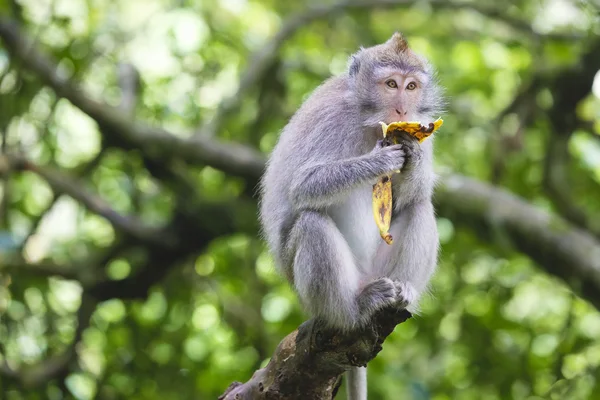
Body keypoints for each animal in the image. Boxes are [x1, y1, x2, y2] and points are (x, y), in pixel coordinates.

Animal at [258, 32, 446, 398]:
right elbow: (303, 186)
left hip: (381, 269)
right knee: (310, 223)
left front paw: (412, 156)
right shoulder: (332, 119)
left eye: (411, 86)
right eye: (391, 84)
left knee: (419, 206)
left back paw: (404, 292)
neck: (370, 122)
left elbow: (411, 195)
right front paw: (379, 161)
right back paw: (354, 310)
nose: (402, 109)